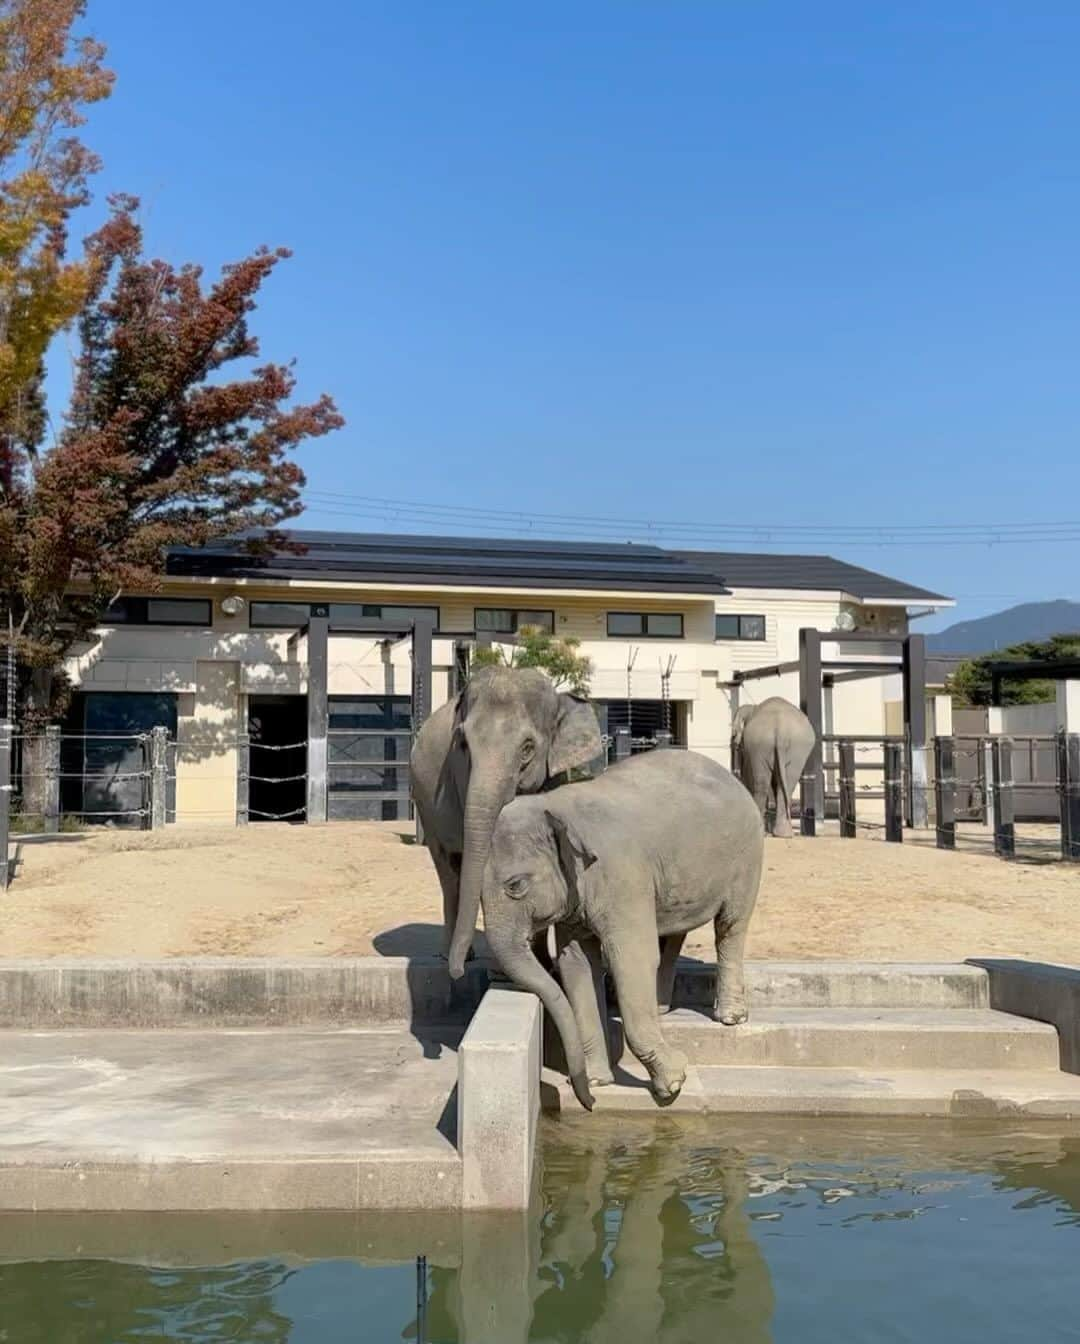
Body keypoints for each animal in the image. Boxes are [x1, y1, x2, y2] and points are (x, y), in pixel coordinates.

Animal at [408, 669, 604, 978]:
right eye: (463, 745)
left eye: (527, 749)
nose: (457, 973)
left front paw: (545, 965)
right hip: (425, 805)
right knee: (448, 871)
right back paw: (449, 954)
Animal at [736, 698, 816, 833]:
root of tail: (780, 728)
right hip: (796, 748)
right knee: (788, 783)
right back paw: (784, 833)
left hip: (760, 743)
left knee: (761, 784)